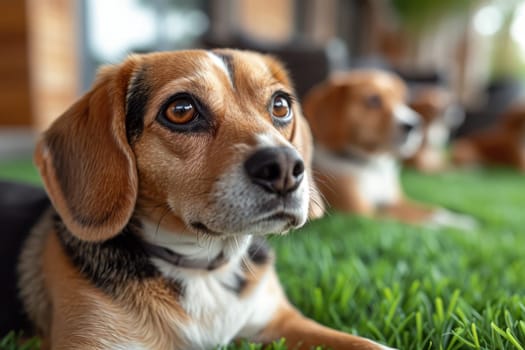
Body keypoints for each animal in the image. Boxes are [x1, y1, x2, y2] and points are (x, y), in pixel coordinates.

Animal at [300, 69, 472, 228]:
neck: (373, 167)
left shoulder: (395, 201)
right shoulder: (363, 214)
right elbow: (423, 222)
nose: (415, 124)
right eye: (373, 99)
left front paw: (462, 220)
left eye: (401, 100)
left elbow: (434, 211)